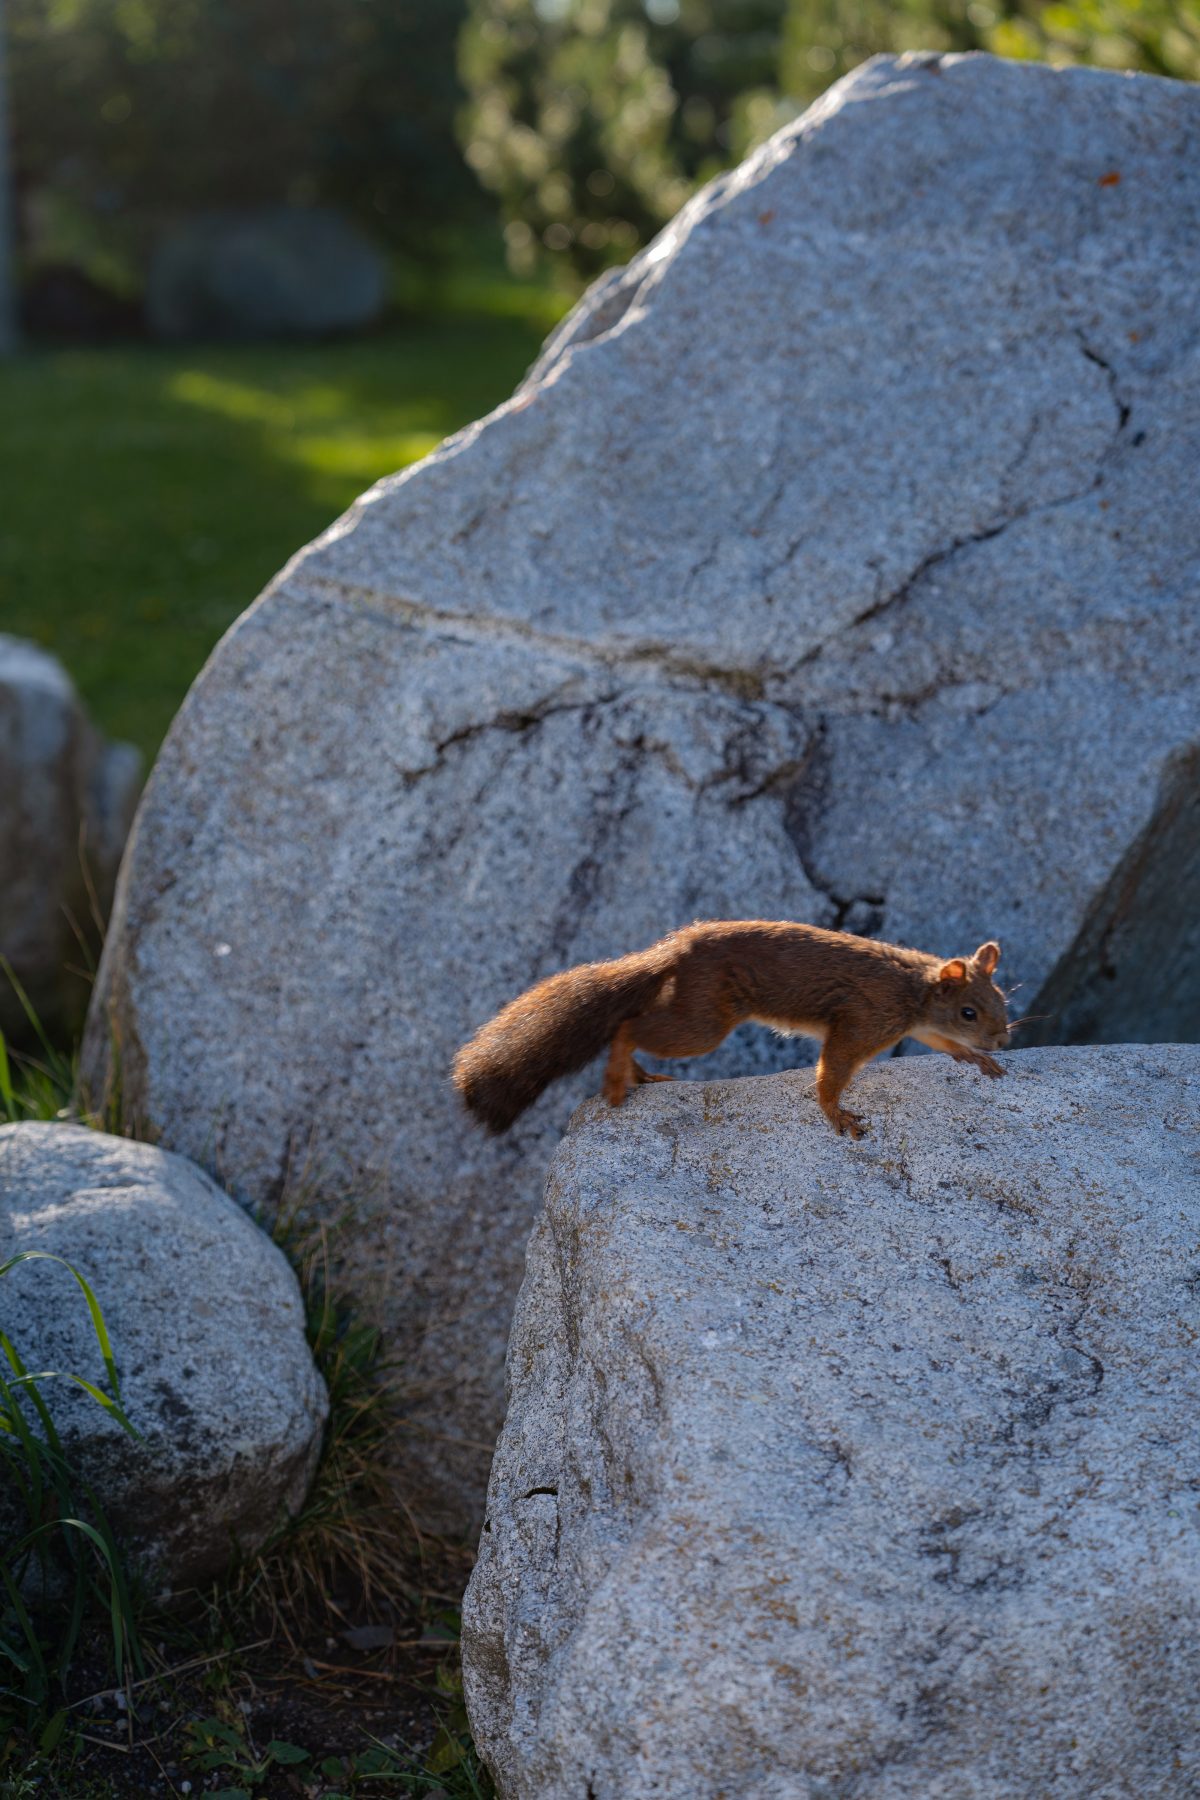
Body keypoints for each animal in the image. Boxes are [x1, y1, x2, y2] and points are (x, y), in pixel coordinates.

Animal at [452, 919, 1011, 1140]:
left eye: (1003, 999)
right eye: (969, 1012)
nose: (1004, 1039)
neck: (915, 990)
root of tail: (676, 949)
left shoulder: (910, 1027)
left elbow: (939, 1044)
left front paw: (977, 1060)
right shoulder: (863, 1019)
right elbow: (832, 1070)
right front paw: (837, 1114)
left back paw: (639, 1076)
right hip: (705, 1021)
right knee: (627, 1026)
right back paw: (617, 1082)